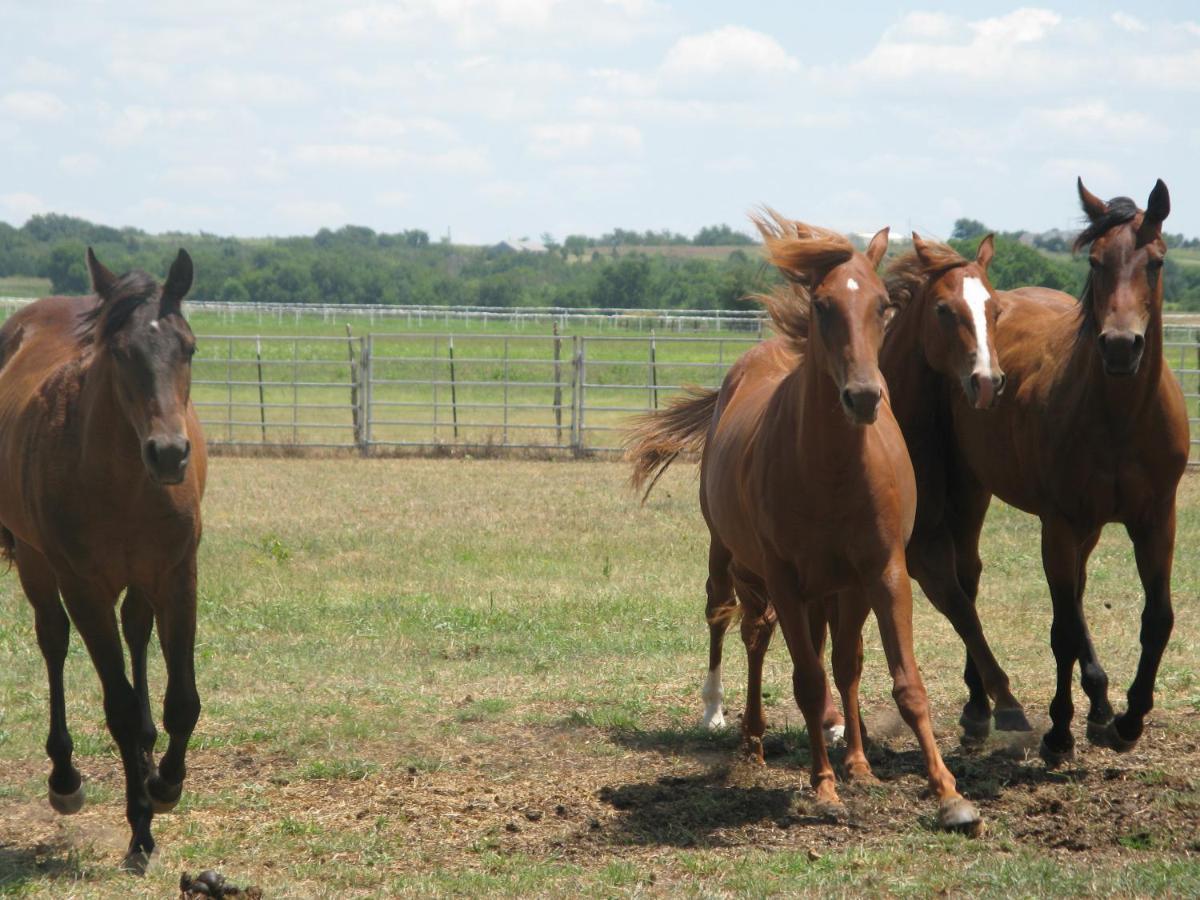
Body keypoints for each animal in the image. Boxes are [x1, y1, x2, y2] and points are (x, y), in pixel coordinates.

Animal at [0, 250, 206, 868]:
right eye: (119, 352)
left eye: (188, 347)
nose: (169, 453)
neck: (125, 481)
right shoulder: (83, 587)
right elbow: (115, 705)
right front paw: (139, 829)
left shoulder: (177, 575)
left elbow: (182, 700)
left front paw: (165, 785)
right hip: (38, 564)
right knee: (53, 640)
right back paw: (65, 779)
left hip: (140, 581)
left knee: (136, 633)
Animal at [624, 214, 979, 835]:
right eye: (822, 304)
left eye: (885, 304)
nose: (863, 395)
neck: (832, 467)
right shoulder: (784, 579)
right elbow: (808, 682)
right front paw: (824, 789)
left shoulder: (883, 573)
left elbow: (899, 680)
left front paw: (946, 793)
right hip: (735, 561)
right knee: (742, 630)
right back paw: (740, 730)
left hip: (836, 587)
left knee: (834, 659)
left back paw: (853, 758)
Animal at [902, 180, 1185, 763]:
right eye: (1096, 262)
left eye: (1156, 261)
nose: (1120, 346)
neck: (1121, 417)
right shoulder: (1059, 523)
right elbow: (1062, 631)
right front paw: (1058, 732)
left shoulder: (1155, 520)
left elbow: (1157, 618)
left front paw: (1128, 720)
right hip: (972, 491)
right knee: (969, 582)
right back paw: (980, 709)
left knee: (1070, 591)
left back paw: (1099, 709)